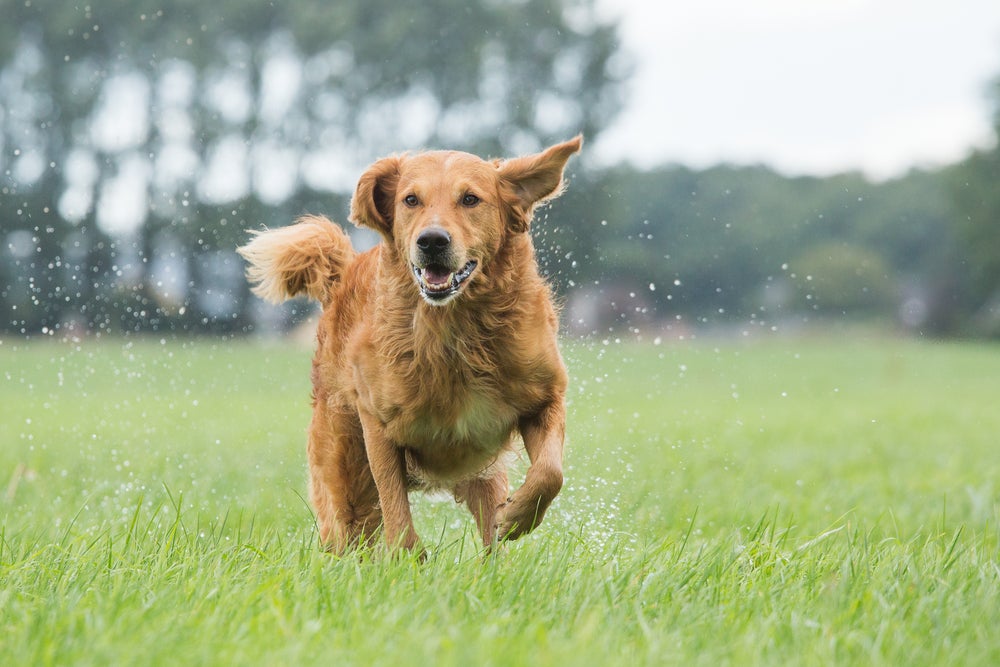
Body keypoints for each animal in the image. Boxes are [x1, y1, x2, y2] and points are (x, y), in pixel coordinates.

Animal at [238, 136, 584, 552]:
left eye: (470, 199)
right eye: (411, 200)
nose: (431, 241)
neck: (454, 330)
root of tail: (343, 276)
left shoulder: (544, 396)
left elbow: (550, 471)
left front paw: (518, 517)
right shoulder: (378, 425)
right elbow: (396, 509)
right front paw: (410, 558)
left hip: (482, 474)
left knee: (489, 532)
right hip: (344, 473)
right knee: (347, 530)